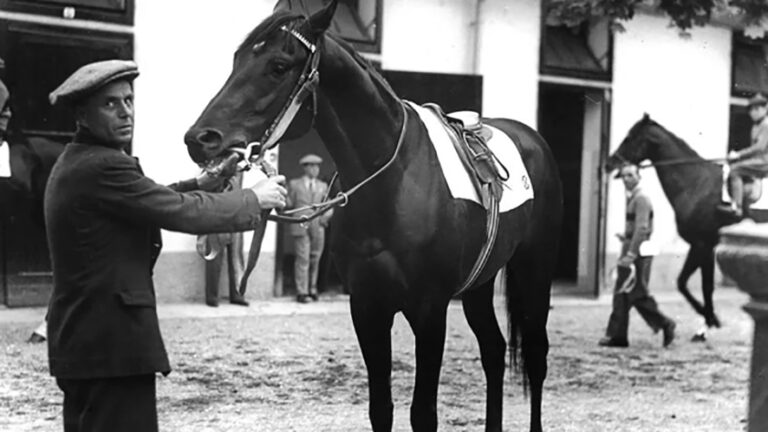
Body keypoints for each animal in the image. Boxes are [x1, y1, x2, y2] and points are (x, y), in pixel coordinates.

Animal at [183, 2, 563, 431]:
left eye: (278, 65)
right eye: (238, 59)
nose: (199, 138)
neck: (394, 182)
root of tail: (532, 139)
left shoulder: (429, 311)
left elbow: (423, 413)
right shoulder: (367, 306)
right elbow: (381, 408)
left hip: (534, 272)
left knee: (536, 357)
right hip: (478, 284)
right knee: (494, 351)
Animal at [606, 113, 739, 340]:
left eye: (630, 137)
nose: (609, 162)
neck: (695, 184)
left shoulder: (701, 245)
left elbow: (688, 284)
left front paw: (710, 320)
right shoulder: (707, 247)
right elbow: (702, 286)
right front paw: (705, 325)